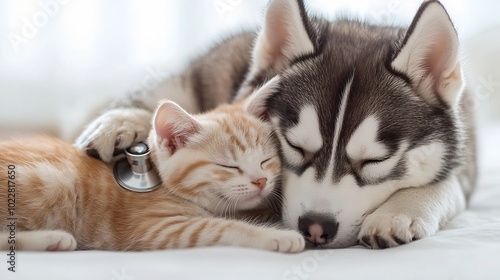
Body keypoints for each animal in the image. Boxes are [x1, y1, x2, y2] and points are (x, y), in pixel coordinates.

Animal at [0, 80, 304, 252]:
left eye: (266, 160)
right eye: (229, 166)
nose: (261, 181)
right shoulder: (154, 228)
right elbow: (224, 227)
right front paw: (278, 237)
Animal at [75, 0, 476, 249]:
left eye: (374, 161)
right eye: (294, 146)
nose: (316, 228)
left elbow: (447, 185)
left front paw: (401, 212)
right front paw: (122, 121)